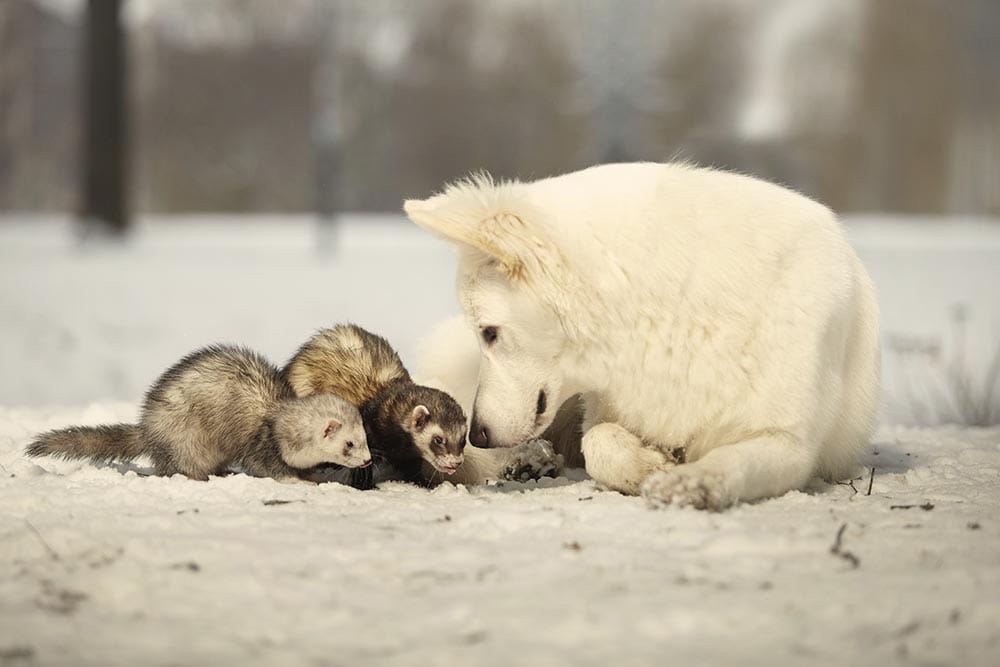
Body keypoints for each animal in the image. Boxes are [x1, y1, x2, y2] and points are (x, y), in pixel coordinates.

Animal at [402, 164, 880, 508]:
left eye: (488, 332)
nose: (478, 435)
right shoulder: (604, 408)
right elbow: (599, 442)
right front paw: (650, 465)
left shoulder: (790, 444)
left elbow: (730, 458)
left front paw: (692, 480)